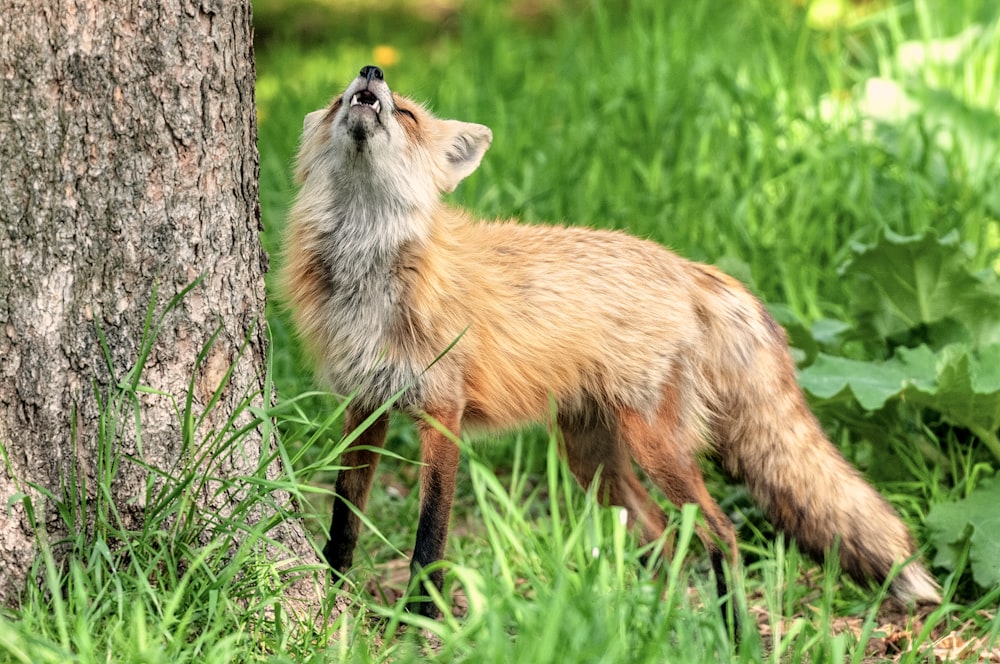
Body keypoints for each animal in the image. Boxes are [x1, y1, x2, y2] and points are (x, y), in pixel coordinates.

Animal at [278, 65, 940, 620]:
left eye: (410, 115)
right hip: (591, 460)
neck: (372, 276)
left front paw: (422, 622)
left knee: (720, 533)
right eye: (338, 100)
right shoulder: (365, 404)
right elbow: (344, 519)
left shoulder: (443, 412)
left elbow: (429, 540)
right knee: (665, 539)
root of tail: (686, 266)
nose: (370, 71)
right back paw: (657, 620)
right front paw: (333, 595)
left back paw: (731, 634)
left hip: (654, 446)